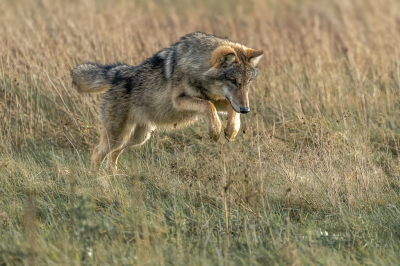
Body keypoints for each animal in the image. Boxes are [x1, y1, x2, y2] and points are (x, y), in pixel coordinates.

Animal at [72, 31, 264, 172]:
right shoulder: (181, 101)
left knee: (112, 155)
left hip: (138, 138)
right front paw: (215, 130)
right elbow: (208, 107)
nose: (246, 109)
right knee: (97, 152)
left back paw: (113, 177)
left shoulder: (216, 99)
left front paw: (232, 130)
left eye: (247, 83)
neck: (195, 64)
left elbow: (228, 109)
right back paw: (98, 181)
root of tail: (118, 73)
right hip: (118, 137)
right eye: (233, 81)